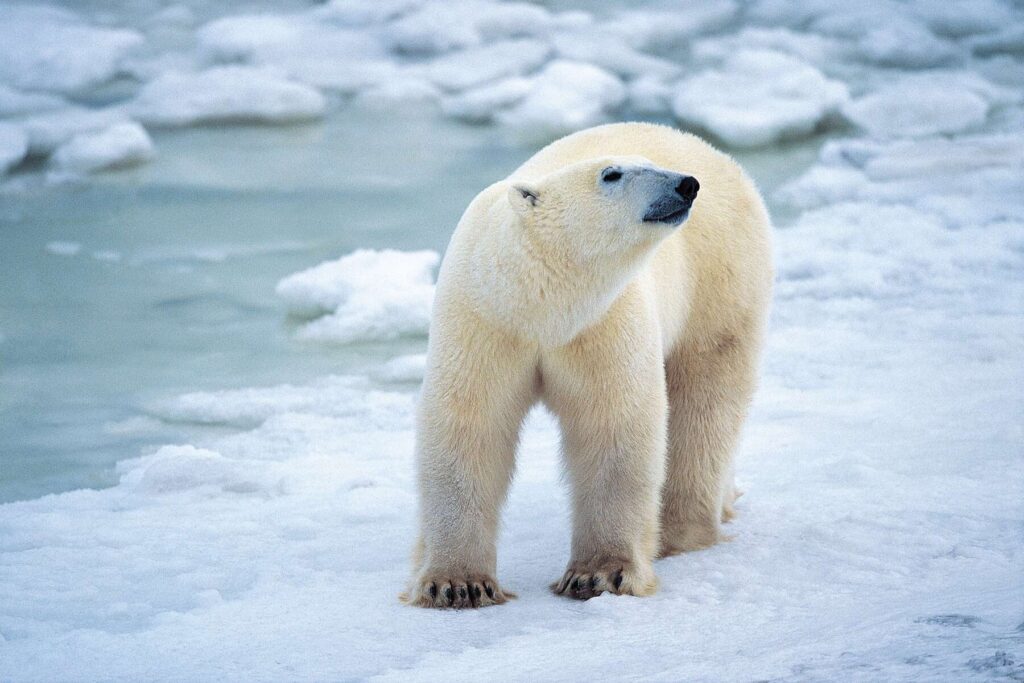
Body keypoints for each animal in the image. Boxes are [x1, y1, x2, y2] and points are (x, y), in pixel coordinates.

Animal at [401, 122, 770, 610]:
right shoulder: (484, 321)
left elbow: (612, 426)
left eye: (649, 164)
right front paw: (457, 584)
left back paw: (680, 531)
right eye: (611, 174)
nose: (686, 184)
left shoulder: (602, 321)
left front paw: (600, 574)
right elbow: (469, 425)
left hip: (719, 280)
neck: (541, 307)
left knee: (706, 399)